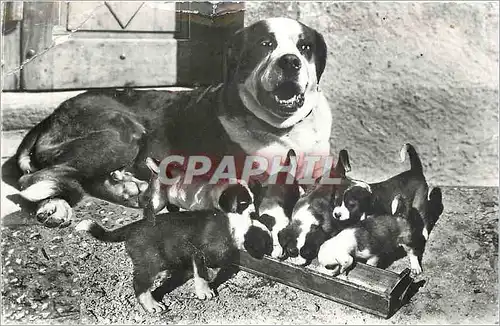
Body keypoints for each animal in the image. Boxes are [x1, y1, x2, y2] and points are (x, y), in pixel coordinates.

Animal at [6, 17, 332, 227]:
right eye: (266, 44)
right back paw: (56, 204)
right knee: (37, 178)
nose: (290, 61)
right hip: (122, 132)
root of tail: (51, 116)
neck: (285, 130)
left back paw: (125, 189)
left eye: (305, 48)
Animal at [75, 209, 272, 314]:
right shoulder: (199, 253)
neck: (233, 227)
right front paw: (205, 292)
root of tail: (131, 228)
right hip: (150, 262)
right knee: (140, 285)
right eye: (266, 244)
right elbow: (202, 274)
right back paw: (152, 305)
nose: (276, 253)